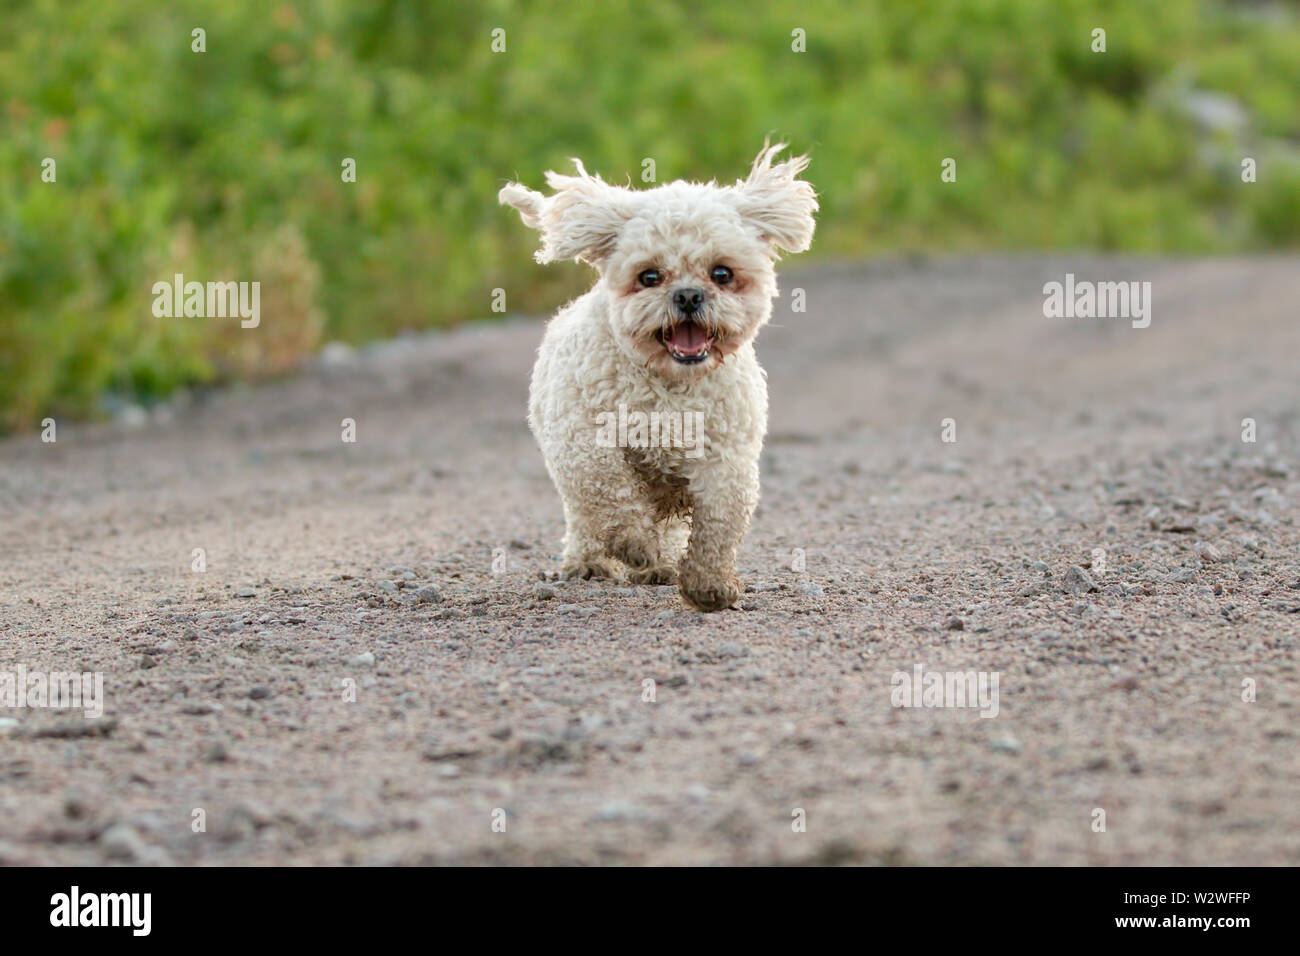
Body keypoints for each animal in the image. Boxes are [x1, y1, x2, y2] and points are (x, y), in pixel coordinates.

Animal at [496, 145, 811, 613]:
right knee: (586, 516)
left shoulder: (725, 459)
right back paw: (591, 562)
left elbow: (719, 523)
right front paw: (635, 544)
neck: (669, 386)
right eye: (649, 276)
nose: (688, 295)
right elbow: (611, 492)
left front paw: (709, 584)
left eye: (721, 273)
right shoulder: (583, 444)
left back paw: (660, 566)